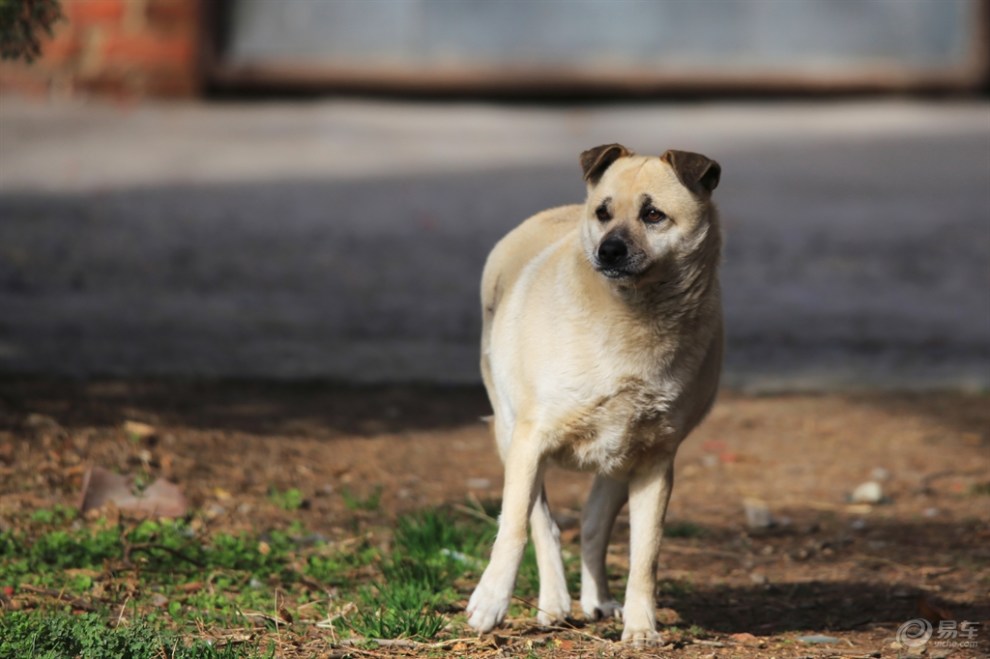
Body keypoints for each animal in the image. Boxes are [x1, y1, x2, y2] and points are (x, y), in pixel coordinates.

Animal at [468, 146, 724, 648]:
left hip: (617, 463)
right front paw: (490, 602)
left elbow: (646, 554)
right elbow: (514, 527)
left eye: (653, 214)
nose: (608, 250)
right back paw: (553, 604)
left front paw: (641, 627)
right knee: (544, 524)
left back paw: (597, 600)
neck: (634, 315)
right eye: (603, 212)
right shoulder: (531, 440)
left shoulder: (655, 461)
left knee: (591, 524)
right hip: (510, 436)